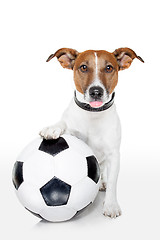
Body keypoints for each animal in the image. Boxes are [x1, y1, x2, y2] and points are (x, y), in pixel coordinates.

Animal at [39, 47, 144, 218]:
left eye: (109, 68)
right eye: (83, 67)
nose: (96, 91)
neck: (93, 114)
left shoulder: (113, 155)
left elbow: (113, 182)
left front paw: (111, 204)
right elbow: (64, 123)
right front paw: (53, 127)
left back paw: (102, 183)